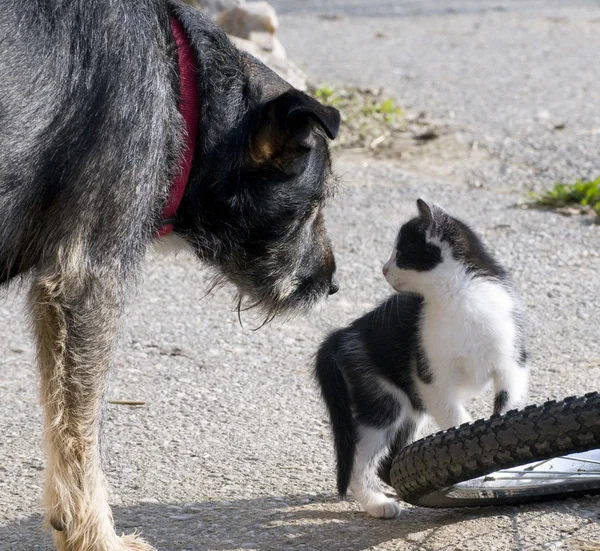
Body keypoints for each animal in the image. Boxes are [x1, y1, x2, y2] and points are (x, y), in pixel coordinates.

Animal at [0, 2, 338, 548]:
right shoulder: (86, 283)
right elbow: (79, 432)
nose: (332, 283)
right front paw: (95, 536)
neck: (183, 81)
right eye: (314, 204)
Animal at [316, 201, 528, 520]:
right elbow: (455, 416)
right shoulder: (430, 377)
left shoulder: (512, 360)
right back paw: (376, 503)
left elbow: (507, 400)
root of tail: (342, 335)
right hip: (381, 394)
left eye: (401, 253)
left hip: (409, 407)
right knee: (361, 457)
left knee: (390, 455)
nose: (384, 269)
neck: (458, 298)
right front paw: (470, 447)